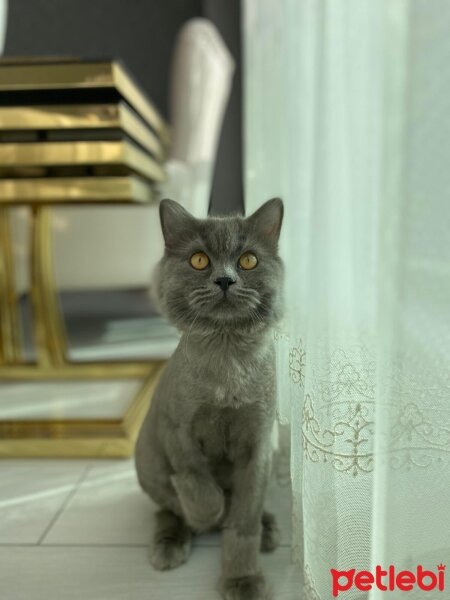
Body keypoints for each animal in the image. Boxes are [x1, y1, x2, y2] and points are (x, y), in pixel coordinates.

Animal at [134, 198, 284, 600]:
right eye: (199, 260)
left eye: (248, 260)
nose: (225, 279)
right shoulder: (176, 428)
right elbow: (198, 481)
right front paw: (207, 512)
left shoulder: (259, 443)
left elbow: (243, 519)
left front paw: (242, 580)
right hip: (147, 459)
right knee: (166, 509)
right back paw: (172, 542)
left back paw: (269, 528)